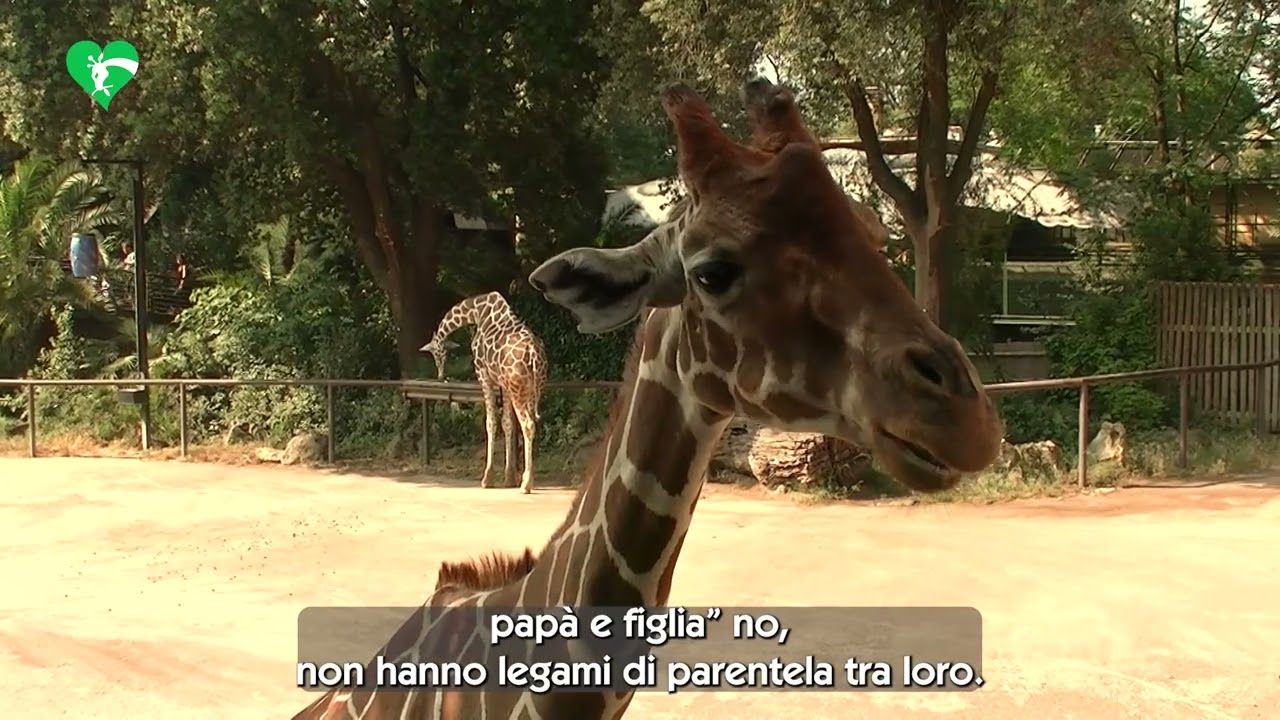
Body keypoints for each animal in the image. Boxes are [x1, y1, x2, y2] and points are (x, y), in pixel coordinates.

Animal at [420, 291, 549, 493]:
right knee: (533, 423)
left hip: (519, 388)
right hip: (532, 389)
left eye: (438, 353)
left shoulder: (483, 374)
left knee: (528, 424)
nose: (440, 375)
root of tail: (534, 353)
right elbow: (507, 423)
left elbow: (490, 422)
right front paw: (509, 478)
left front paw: (487, 478)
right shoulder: (505, 385)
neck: (477, 311)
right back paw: (529, 479)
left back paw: (526, 484)